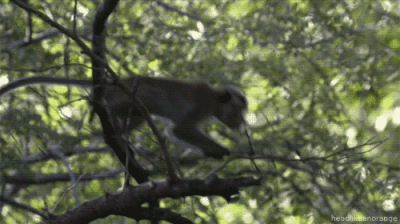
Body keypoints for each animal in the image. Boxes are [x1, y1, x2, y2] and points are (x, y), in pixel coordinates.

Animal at [0, 76, 247, 158]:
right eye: (237, 111)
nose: (240, 123)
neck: (215, 98)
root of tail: (114, 83)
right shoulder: (202, 105)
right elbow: (180, 130)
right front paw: (221, 149)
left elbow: (177, 132)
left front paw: (212, 152)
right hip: (125, 96)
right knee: (136, 106)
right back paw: (98, 106)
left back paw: (118, 135)